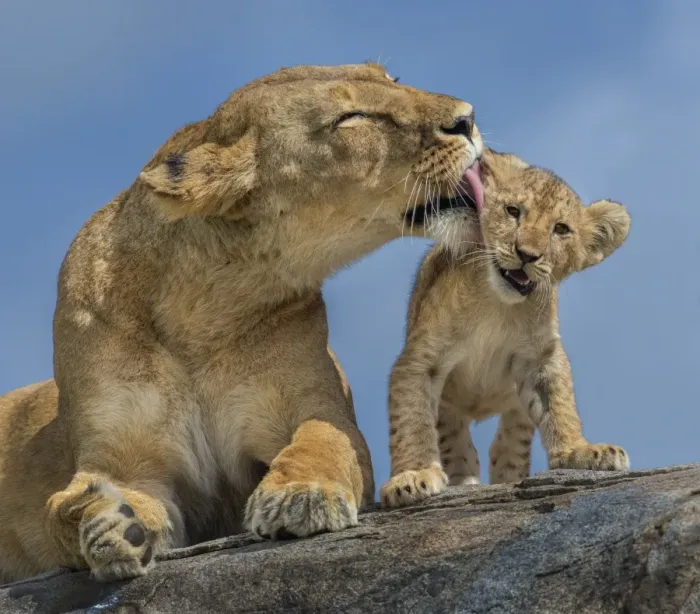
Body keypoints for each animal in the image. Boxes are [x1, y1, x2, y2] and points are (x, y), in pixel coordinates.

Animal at [0, 62, 486, 583]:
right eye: (350, 117)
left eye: (391, 79)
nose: (467, 118)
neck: (200, 311)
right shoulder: (120, 459)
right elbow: (72, 505)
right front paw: (113, 525)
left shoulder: (314, 403)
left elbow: (326, 439)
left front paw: (301, 495)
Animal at [380, 148, 631, 508]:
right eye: (513, 211)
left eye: (561, 229)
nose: (527, 254)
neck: (497, 305)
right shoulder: (419, 360)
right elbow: (411, 420)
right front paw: (411, 477)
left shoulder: (541, 357)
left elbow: (559, 406)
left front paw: (580, 451)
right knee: (457, 443)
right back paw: (464, 480)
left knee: (507, 446)